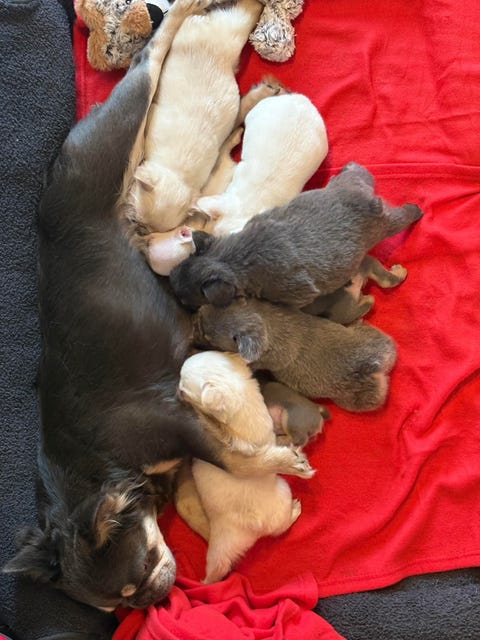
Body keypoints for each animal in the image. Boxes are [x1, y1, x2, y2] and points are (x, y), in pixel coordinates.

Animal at [169, 162, 423, 309]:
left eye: (184, 299)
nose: (169, 280)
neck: (233, 257)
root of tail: (365, 198)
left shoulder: (297, 296)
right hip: (344, 184)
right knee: (357, 172)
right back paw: (350, 167)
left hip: (385, 224)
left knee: (402, 217)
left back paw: (416, 210)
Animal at [177, 351, 305, 583]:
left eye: (183, 386)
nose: (176, 388)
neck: (243, 400)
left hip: (283, 492)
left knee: (281, 527)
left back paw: (294, 511)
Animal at [193, 298, 398, 411]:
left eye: (210, 338)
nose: (199, 311)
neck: (268, 323)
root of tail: (376, 363)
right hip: (377, 338)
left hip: (357, 399)